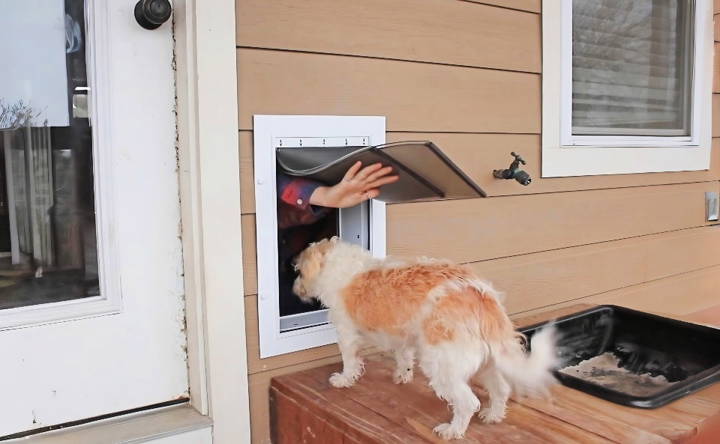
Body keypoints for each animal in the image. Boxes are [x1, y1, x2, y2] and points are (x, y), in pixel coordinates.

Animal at [292, 238, 556, 438]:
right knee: (501, 389)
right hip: (487, 361)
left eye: (299, 272)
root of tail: (481, 295)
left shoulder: (346, 332)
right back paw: (493, 415)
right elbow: (403, 356)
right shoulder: (403, 335)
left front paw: (344, 379)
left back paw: (453, 430)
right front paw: (403, 375)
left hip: (441, 364)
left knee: (467, 402)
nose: (294, 289)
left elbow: (349, 361)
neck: (338, 264)